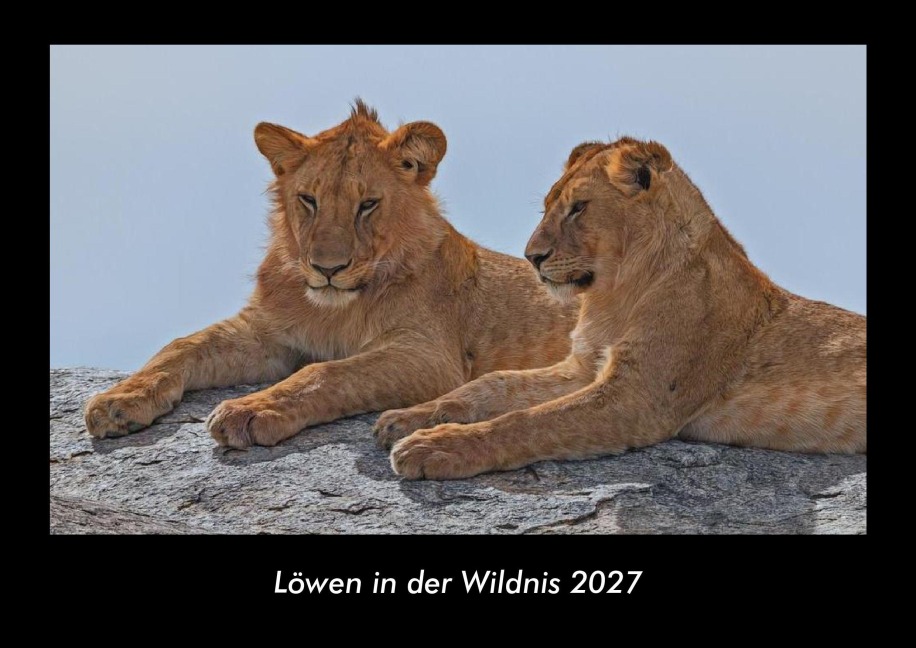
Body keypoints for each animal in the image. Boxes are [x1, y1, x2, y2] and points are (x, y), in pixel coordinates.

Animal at [84, 101, 579, 448]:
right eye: (309, 199)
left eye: (368, 204)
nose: (327, 269)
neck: (332, 308)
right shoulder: (267, 334)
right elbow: (182, 345)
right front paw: (119, 400)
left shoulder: (430, 356)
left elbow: (325, 372)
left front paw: (250, 410)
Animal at [378, 136, 866, 479]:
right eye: (547, 207)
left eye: (578, 208)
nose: (532, 257)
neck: (615, 295)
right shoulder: (582, 367)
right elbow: (492, 385)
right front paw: (408, 417)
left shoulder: (638, 398)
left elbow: (528, 421)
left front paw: (435, 447)